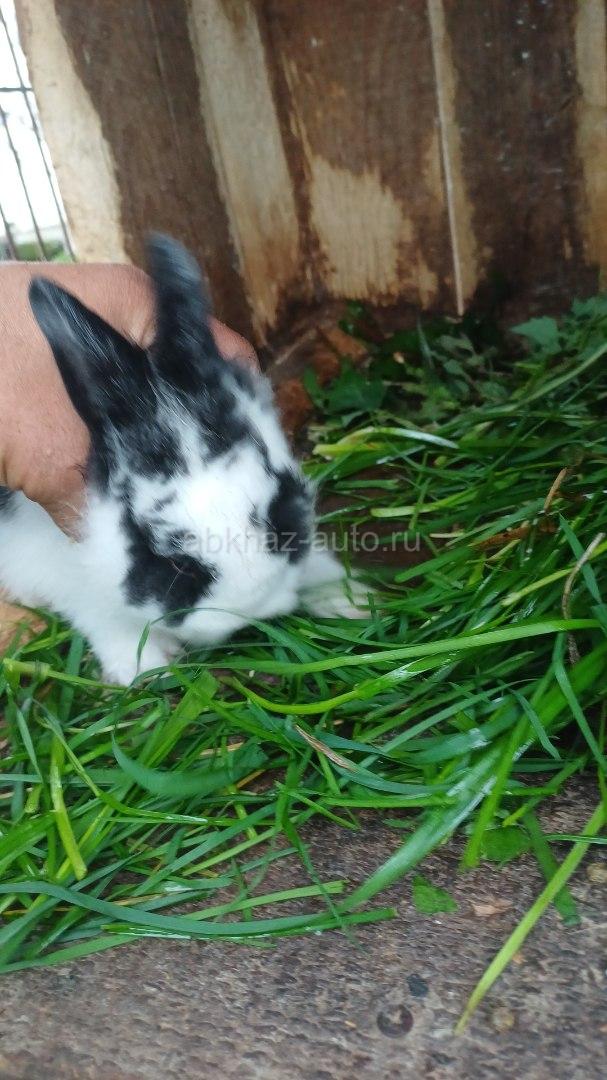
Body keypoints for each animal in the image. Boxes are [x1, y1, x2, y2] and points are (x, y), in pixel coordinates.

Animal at [0, 235, 368, 684]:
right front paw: (143, 668)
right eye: (171, 562)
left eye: (278, 513)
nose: (254, 606)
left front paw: (348, 598)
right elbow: (103, 618)